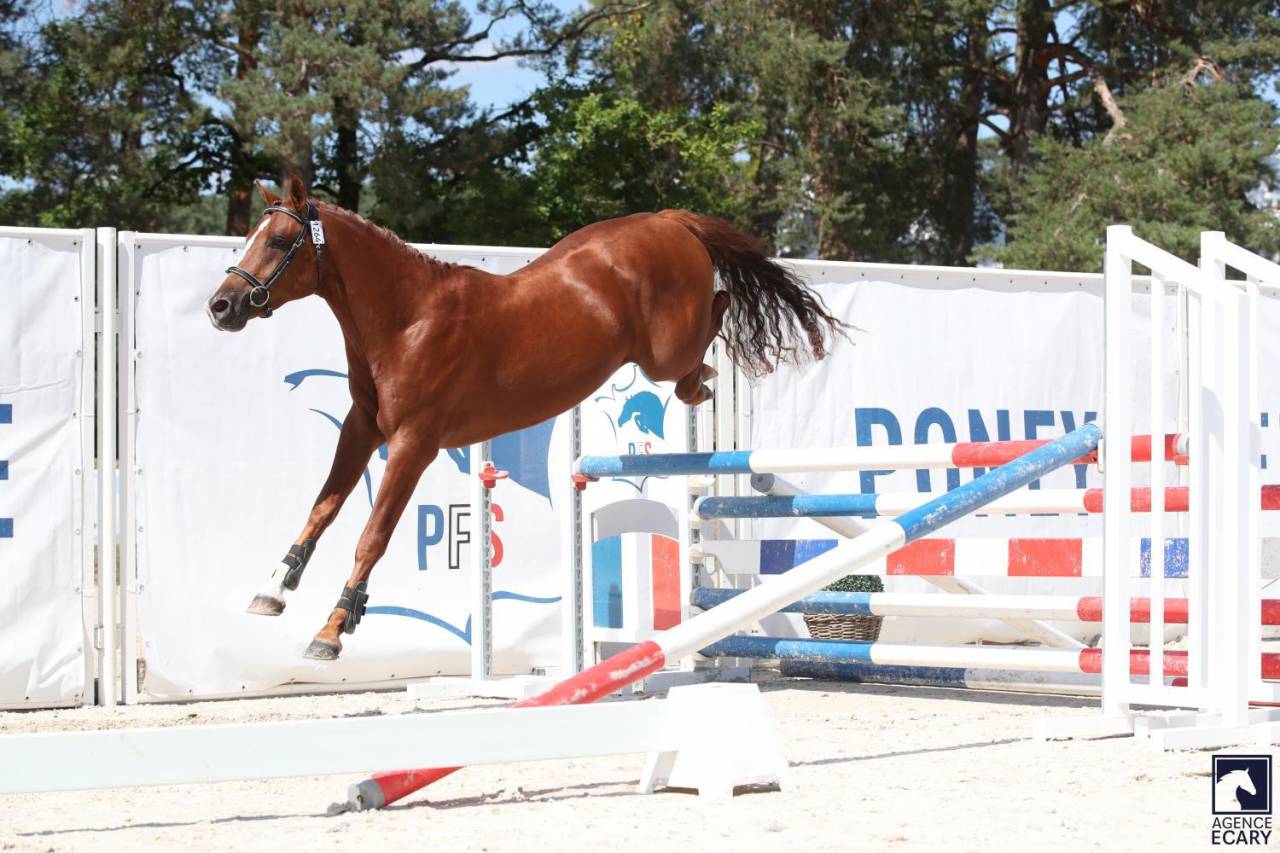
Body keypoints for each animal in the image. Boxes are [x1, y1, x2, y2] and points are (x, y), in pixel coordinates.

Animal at [205, 175, 844, 660]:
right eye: (250, 237)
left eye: (279, 240)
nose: (220, 307)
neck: (405, 319)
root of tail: (666, 220)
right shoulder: (362, 430)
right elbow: (321, 510)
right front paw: (273, 590)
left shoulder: (413, 443)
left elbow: (371, 536)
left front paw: (333, 629)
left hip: (663, 352)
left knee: (720, 312)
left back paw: (707, 377)